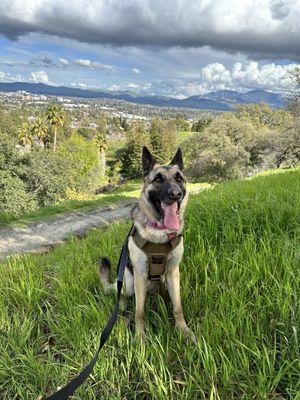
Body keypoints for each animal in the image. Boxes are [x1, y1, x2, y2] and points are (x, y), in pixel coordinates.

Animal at [99, 147, 196, 340]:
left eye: (179, 178)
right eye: (158, 179)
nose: (176, 194)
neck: (159, 231)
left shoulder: (173, 273)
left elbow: (177, 307)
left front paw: (183, 331)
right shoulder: (140, 276)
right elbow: (140, 311)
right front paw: (140, 338)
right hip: (128, 283)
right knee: (121, 296)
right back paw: (122, 310)